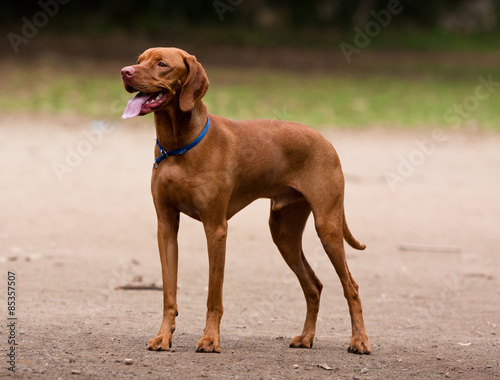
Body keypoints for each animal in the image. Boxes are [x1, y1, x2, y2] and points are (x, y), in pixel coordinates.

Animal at [120, 49, 372, 354]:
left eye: (161, 64)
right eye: (139, 60)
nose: (125, 72)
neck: (178, 146)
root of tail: (326, 141)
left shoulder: (216, 229)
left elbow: (213, 295)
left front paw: (210, 340)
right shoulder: (166, 227)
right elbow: (169, 293)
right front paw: (163, 337)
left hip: (328, 227)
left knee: (352, 287)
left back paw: (359, 341)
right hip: (284, 234)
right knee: (314, 286)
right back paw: (306, 337)